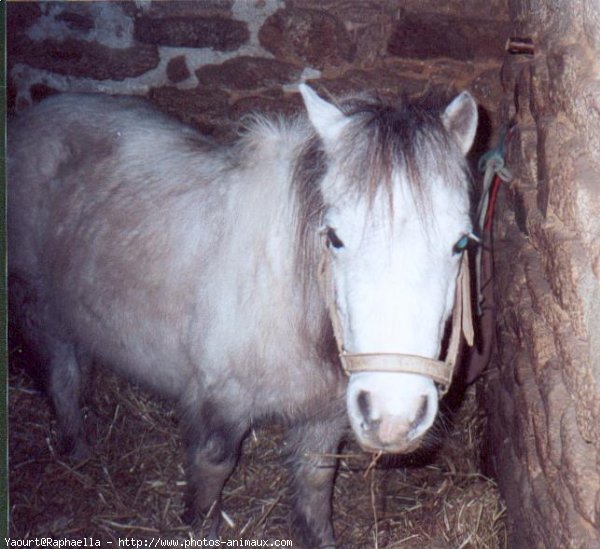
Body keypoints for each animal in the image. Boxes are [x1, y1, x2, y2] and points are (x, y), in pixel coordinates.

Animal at [8, 83, 478, 544]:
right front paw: (201, 525)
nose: (395, 418)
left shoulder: (324, 414)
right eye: (334, 237)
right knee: (63, 377)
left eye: (460, 243)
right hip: (41, 307)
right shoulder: (221, 403)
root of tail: (35, 114)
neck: (284, 291)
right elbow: (212, 468)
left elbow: (315, 481)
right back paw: (77, 447)